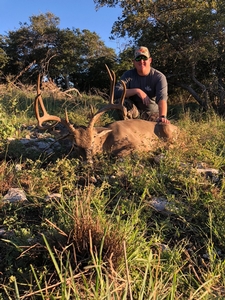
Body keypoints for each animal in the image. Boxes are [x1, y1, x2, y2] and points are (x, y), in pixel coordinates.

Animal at [34, 66, 179, 164]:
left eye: (93, 141)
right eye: (75, 145)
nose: (88, 161)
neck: (107, 139)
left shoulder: (138, 143)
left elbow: (119, 155)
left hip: (168, 131)